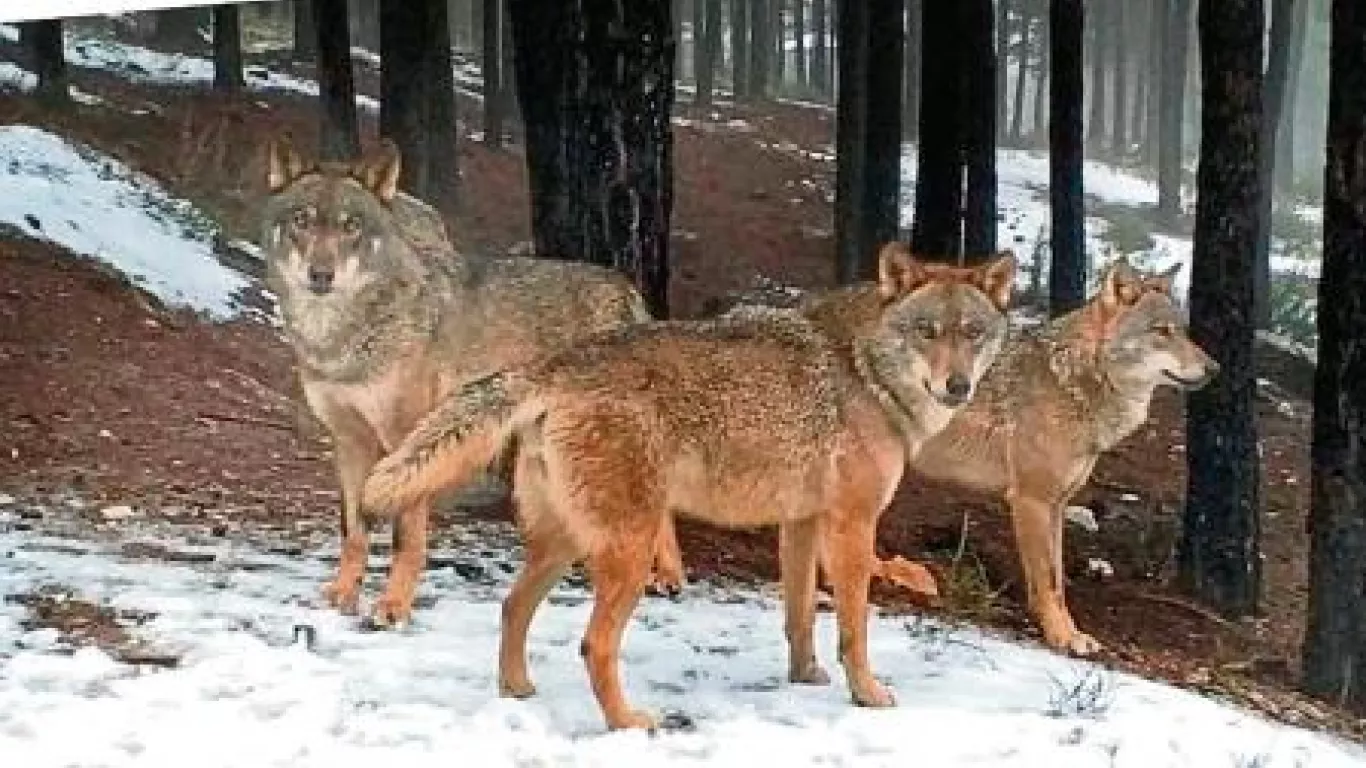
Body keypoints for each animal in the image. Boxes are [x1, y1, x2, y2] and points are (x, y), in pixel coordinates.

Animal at [260, 137, 652, 627]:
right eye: (302, 220)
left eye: (351, 226)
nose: (321, 275)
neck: (343, 339)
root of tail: (627, 288)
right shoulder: (348, 442)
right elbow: (354, 532)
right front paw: (342, 595)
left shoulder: (407, 443)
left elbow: (405, 539)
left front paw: (394, 607)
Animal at [361, 243, 1016, 730]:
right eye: (927, 332)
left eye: (973, 333)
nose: (958, 387)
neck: (866, 369)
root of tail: (555, 365)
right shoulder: (853, 527)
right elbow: (853, 627)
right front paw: (867, 694)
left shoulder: (801, 525)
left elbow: (800, 615)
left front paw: (804, 678)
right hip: (629, 552)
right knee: (593, 644)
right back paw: (627, 723)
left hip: (564, 545)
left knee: (511, 607)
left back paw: (518, 692)